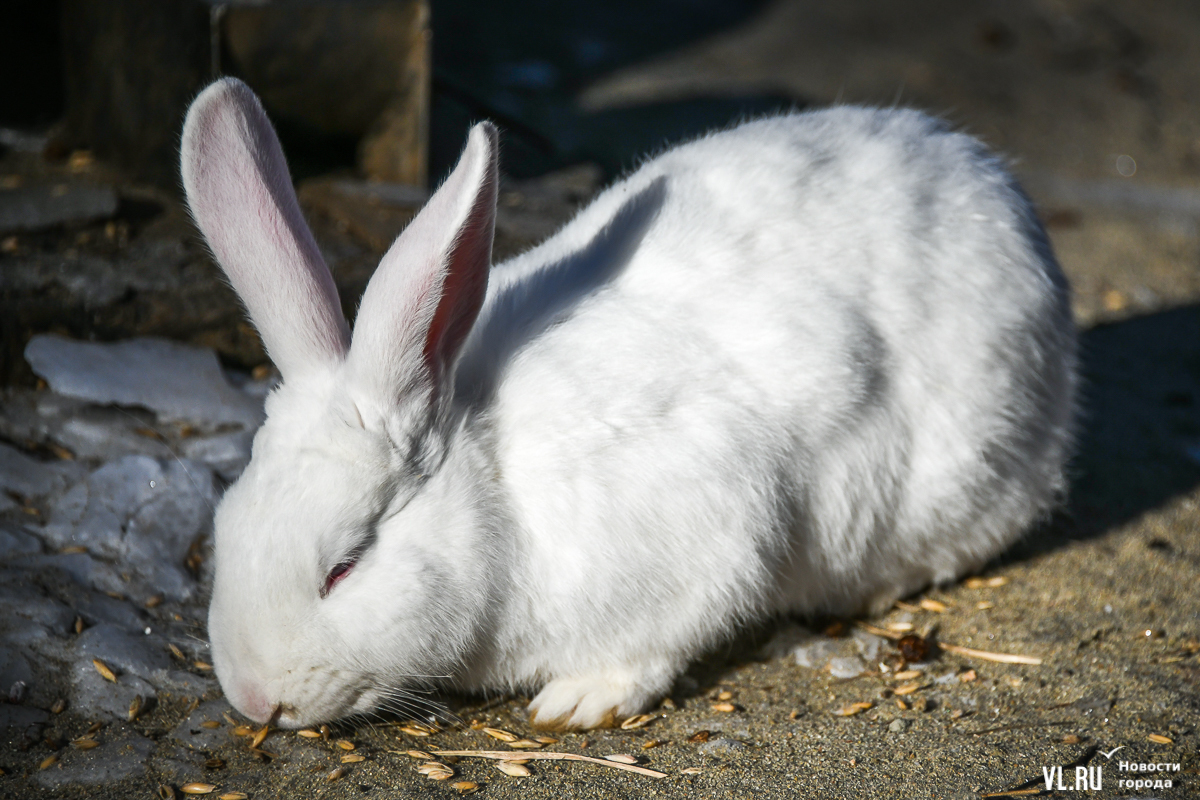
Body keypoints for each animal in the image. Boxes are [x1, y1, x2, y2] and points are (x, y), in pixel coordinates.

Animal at [182, 77, 1075, 729]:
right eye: (224, 531)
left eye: (344, 567)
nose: (254, 699)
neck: (491, 481)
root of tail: (1009, 205)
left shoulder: (710, 527)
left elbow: (659, 639)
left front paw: (578, 702)